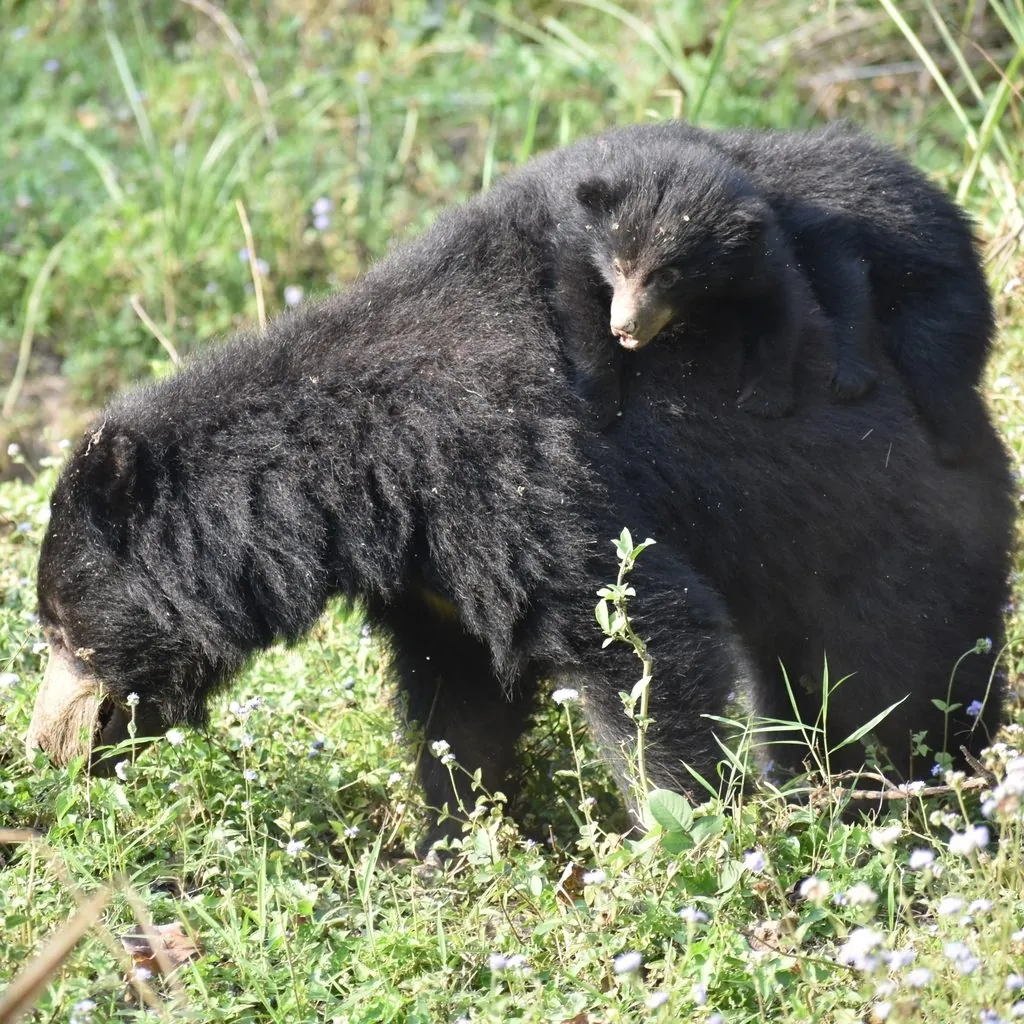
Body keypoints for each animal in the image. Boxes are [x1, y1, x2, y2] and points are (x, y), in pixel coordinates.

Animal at [505, 122, 995, 462]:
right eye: (621, 266)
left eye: (669, 277)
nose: (627, 326)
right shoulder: (575, 238)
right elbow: (576, 302)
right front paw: (599, 403)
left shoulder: (772, 244)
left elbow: (783, 303)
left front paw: (767, 399)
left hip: (937, 299)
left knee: (936, 367)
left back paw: (954, 444)